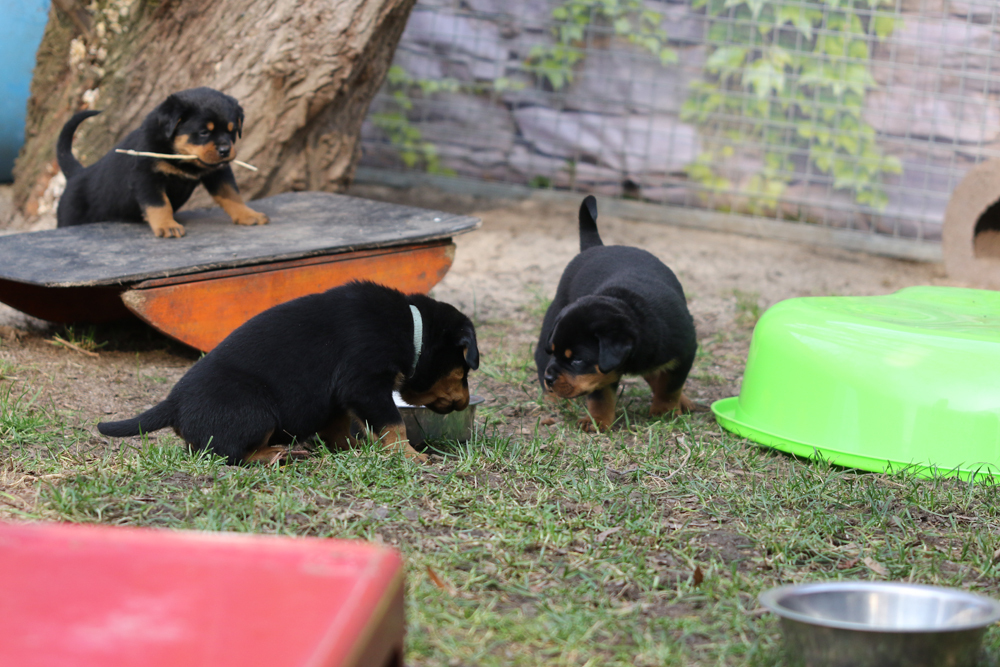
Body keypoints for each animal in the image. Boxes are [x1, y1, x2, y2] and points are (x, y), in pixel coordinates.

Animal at [56, 87, 269, 238]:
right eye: (203, 132)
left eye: (232, 131)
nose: (225, 150)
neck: (180, 155)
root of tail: (76, 174)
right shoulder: (146, 177)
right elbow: (160, 204)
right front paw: (168, 226)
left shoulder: (218, 172)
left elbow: (231, 194)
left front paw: (248, 214)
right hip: (70, 217)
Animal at [98, 281, 479, 464]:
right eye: (463, 369)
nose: (465, 401)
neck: (411, 328)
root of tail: (172, 403)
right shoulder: (365, 384)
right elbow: (393, 424)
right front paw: (411, 456)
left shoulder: (339, 396)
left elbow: (339, 424)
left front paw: (351, 448)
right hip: (256, 412)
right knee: (231, 453)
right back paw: (276, 453)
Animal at [535, 195, 697, 431]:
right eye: (555, 353)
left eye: (577, 361)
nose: (550, 378)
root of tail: (596, 247)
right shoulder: (600, 373)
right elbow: (600, 396)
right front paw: (596, 421)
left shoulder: (684, 353)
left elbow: (669, 387)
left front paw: (664, 412)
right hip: (550, 323)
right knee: (540, 358)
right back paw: (552, 398)